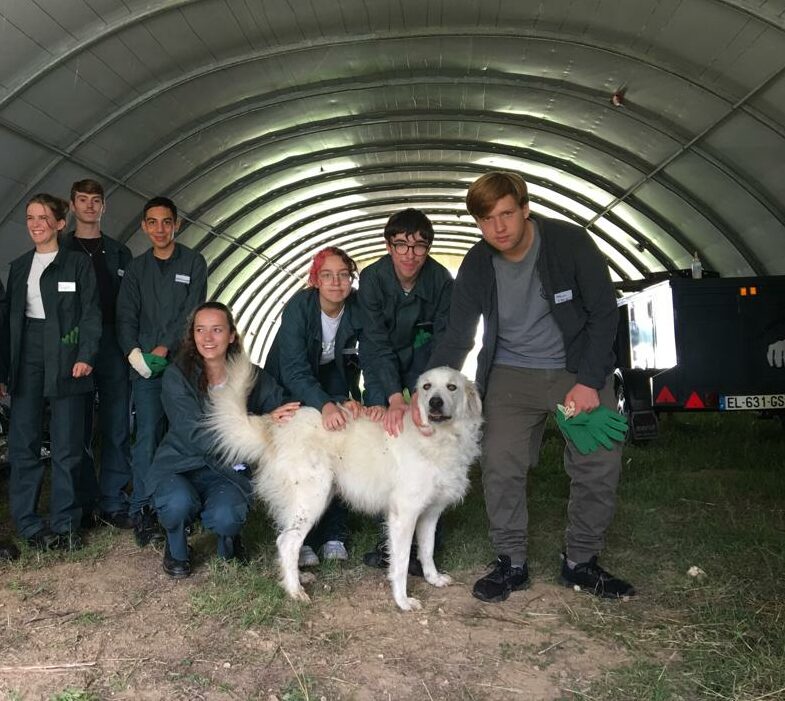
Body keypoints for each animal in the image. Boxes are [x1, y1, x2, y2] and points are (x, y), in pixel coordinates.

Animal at [205, 356, 480, 608]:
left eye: (451, 387)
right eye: (426, 387)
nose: (435, 402)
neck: (438, 439)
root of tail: (274, 427)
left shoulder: (430, 514)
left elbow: (427, 550)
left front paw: (433, 578)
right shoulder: (404, 515)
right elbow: (401, 563)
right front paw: (402, 600)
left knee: (286, 540)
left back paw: (297, 578)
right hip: (312, 499)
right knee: (287, 542)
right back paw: (295, 591)